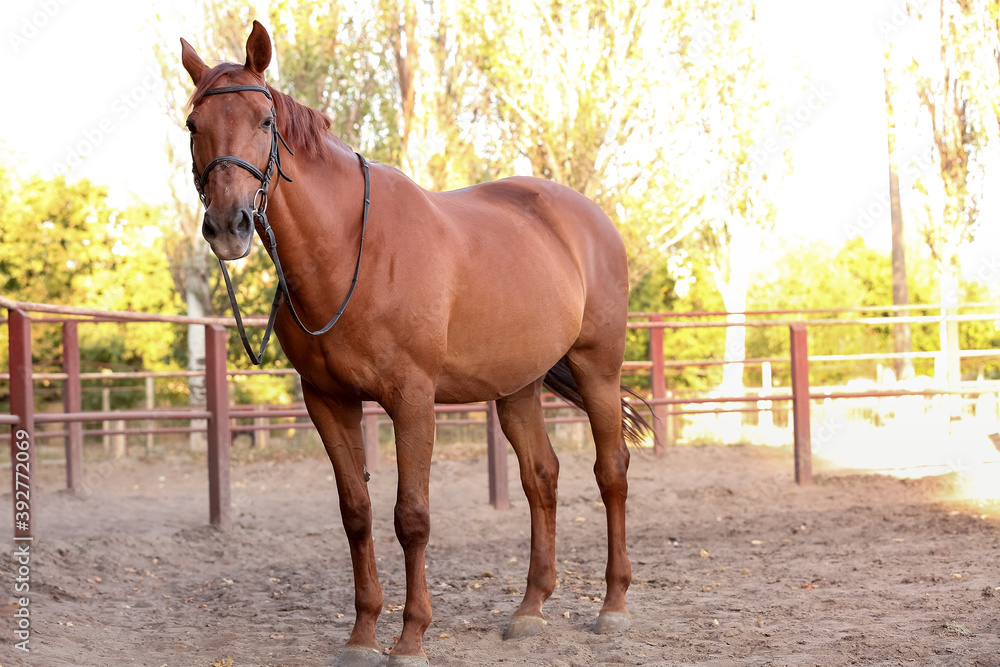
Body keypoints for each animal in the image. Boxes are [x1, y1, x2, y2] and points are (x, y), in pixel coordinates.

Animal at [182, 20, 648, 667]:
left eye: (265, 120)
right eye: (193, 125)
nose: (229, 225)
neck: (349, 247)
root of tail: (588, 218)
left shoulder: (411, 399)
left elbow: (413, 516)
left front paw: (410, 638)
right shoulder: (327, 401)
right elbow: (357, 513)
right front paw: (361, 637)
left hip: (597, 371)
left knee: (612, 472)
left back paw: (614, 606)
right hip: (518, 388)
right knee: (541, 477)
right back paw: (529, 610)